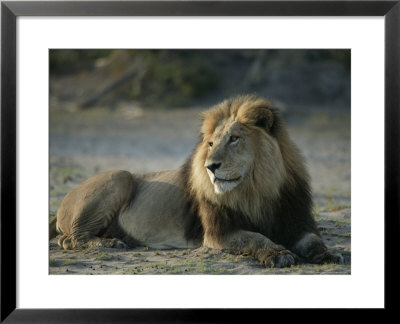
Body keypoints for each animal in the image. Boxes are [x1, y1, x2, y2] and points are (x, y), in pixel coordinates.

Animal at [50, 95, 344, 268]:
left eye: (234, 139)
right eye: (211, 143)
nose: (210, 166)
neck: (256, 188)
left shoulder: (296, 221)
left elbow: (313, 241)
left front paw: (329, 255)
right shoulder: (219, 233)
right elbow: (256, 238)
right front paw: (278, 254)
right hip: (119, 175)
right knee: (69, 239)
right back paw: (110, 243)